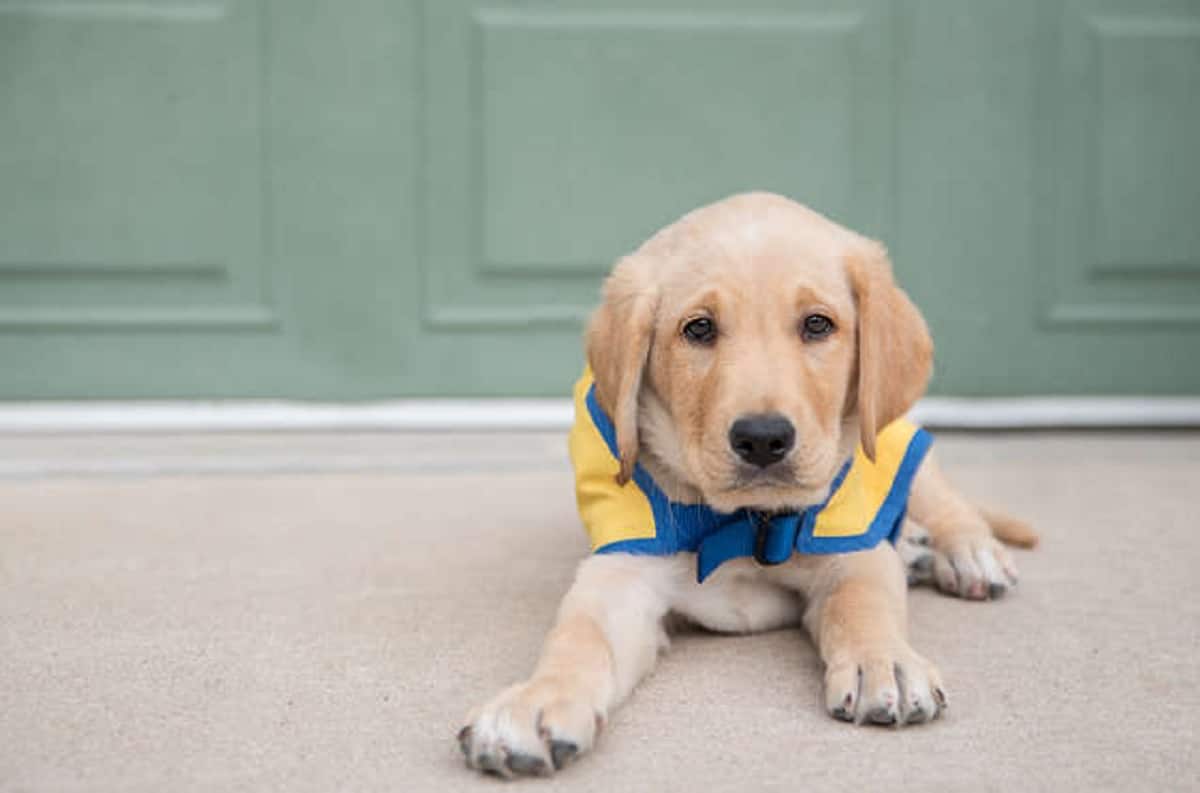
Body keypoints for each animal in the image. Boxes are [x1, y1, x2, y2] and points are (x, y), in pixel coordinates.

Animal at [453, 193, 1036, 777]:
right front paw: (534, 703)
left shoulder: (852, 550)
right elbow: (579, 637)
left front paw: (884, 662)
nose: (762, 438)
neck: (745, 520)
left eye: (818, 325)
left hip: (894, 437)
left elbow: (863, 604)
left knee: (940, 495)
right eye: (699, 329)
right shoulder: (622, 574)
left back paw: (966, 553)